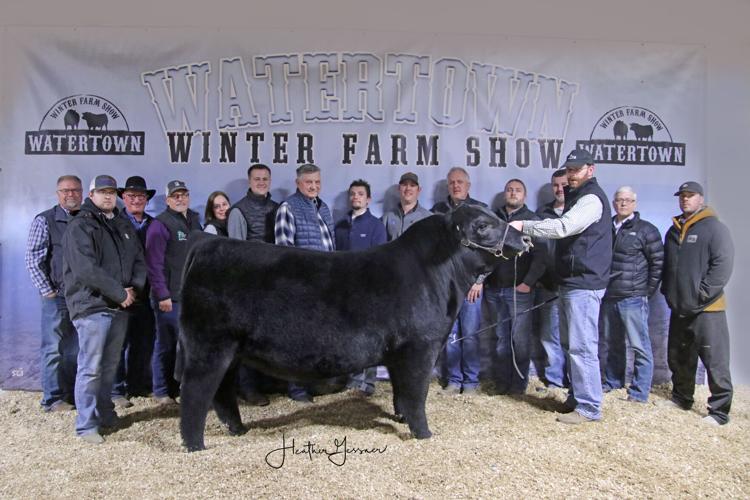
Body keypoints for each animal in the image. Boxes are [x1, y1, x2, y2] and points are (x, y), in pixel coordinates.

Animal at [178, 204, 532, 451]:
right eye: (482, 226)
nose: (525, 237)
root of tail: (206, 242)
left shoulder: (400, 354)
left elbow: (402, 394)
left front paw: (401, 417)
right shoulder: (420, 348)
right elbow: (416, 394)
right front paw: (424, 433)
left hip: (230, 351)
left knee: (222, 393)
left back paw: (237, 429)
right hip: (208, 347)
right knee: (195, 394)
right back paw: (194, 445)